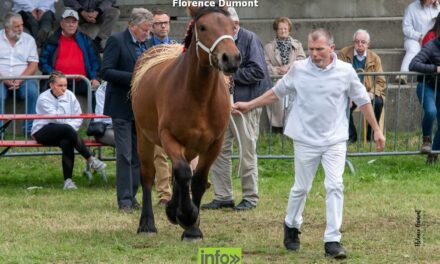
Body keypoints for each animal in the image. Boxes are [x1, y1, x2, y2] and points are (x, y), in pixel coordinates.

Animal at [131, 6, 241, 241]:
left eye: (231, 26)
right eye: (203, 27)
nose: (231, 58)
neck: (198, 97)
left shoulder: (214, 144)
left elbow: (197, 180)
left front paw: (192, 227)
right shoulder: (168, 137)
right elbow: (183, 172)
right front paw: (187, 216)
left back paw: (173, 210)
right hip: (144, 138)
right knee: (148, 177)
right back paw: (147, 224)